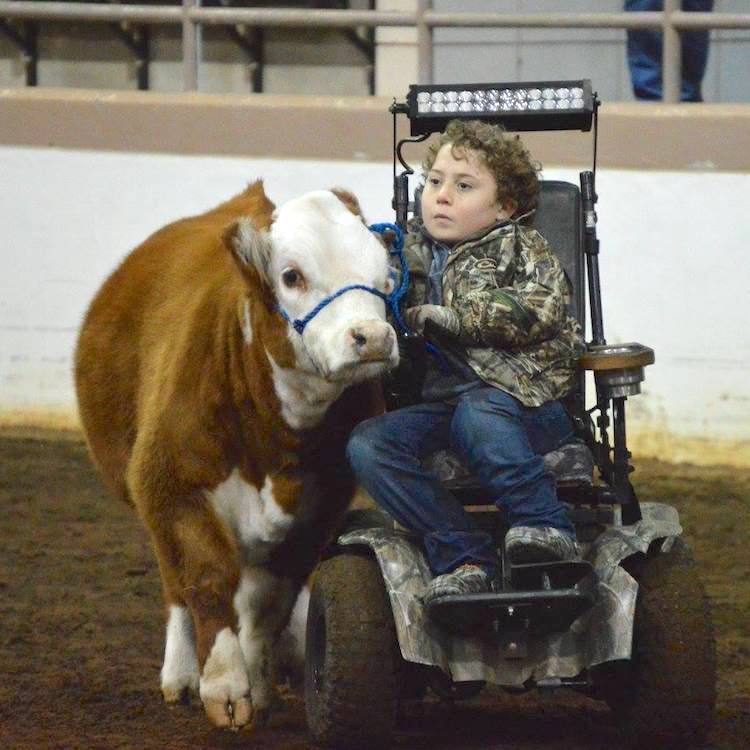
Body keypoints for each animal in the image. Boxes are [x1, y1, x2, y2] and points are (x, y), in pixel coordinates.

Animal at [75, 185, 400, 732]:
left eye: (384, 275)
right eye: (291, 275)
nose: (372, 338)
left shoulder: (319, 509)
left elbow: (268, 601)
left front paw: (260, 679)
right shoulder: (170, 486)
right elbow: (205, 577)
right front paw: (224, 684)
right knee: (175, 583)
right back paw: (181, 674)